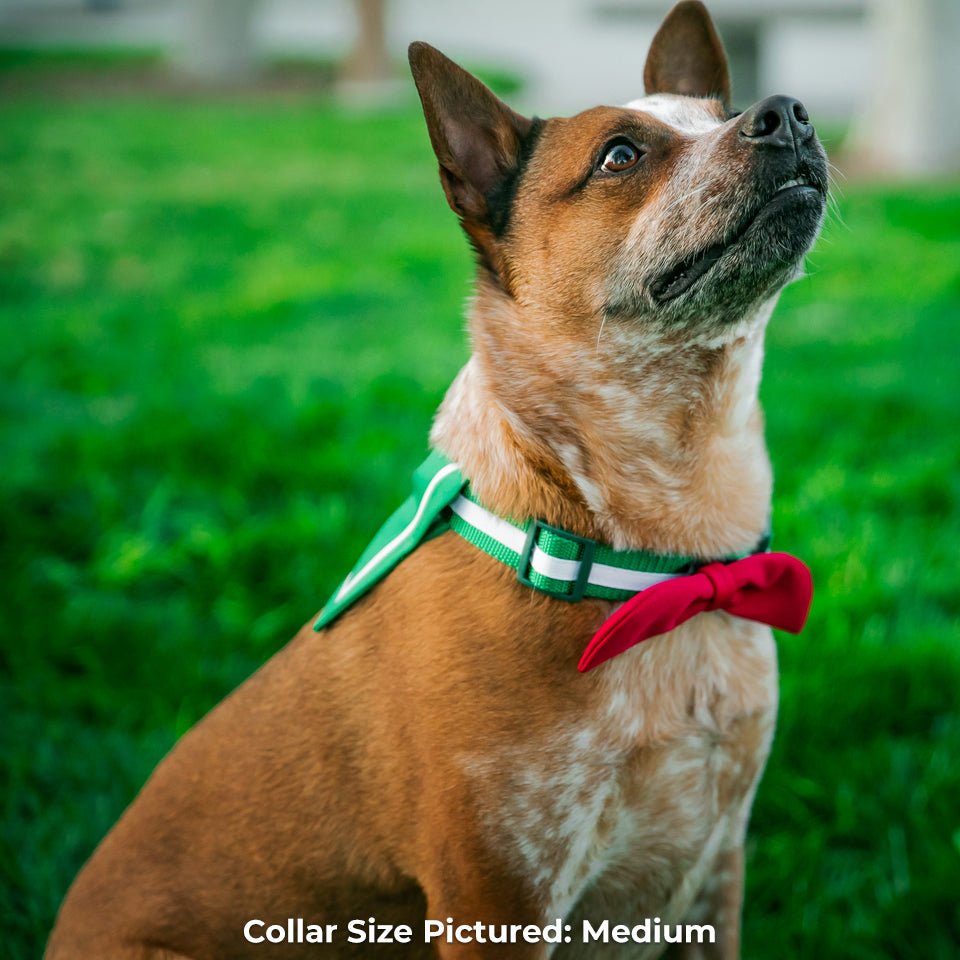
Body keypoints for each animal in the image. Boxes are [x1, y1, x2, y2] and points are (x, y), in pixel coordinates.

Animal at [45, 3, 824, 956]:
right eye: (621, 156)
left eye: (722, 114)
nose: (787, 113)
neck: (664, 569)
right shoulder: (495, 901)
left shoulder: (716, 873)